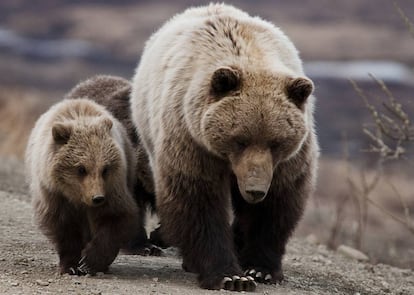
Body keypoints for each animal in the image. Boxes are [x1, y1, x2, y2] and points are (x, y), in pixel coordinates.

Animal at [27, 99, 141, 276]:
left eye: (105, 169)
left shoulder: (113, 188)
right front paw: (71, 265)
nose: (97, 198)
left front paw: (90, 262)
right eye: (81, 168)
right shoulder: (54, 194)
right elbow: (63, 228)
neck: (77, 197)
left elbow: (115, 217)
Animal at [131, 3, 318, 292]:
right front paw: (230, 276)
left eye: (275, 142)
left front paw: (260, 268)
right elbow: (198, 202)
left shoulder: (287, 161)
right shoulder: (191, 139)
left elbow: (277, 203)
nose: (254, 190)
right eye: (239, 139)